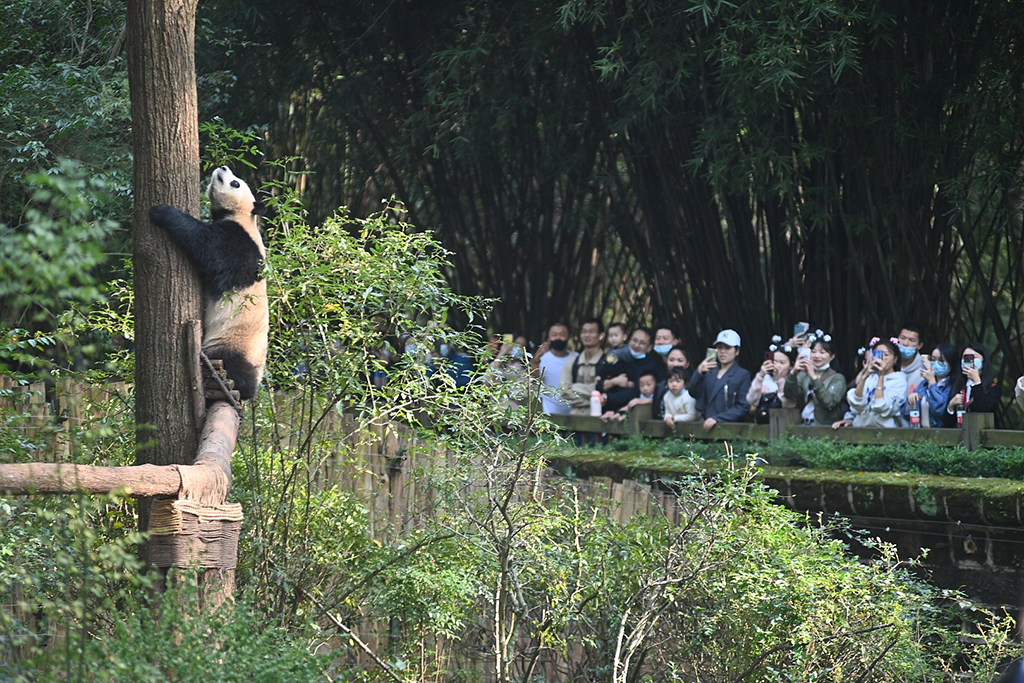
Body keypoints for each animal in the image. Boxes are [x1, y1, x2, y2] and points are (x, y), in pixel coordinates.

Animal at [149, 165, 270, 401]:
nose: (223, 167)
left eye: (235, 183)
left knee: (231, 366)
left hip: (232, 344)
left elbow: (205, 245)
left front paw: (161, 212)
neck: (242, 216)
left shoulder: (237, 245)